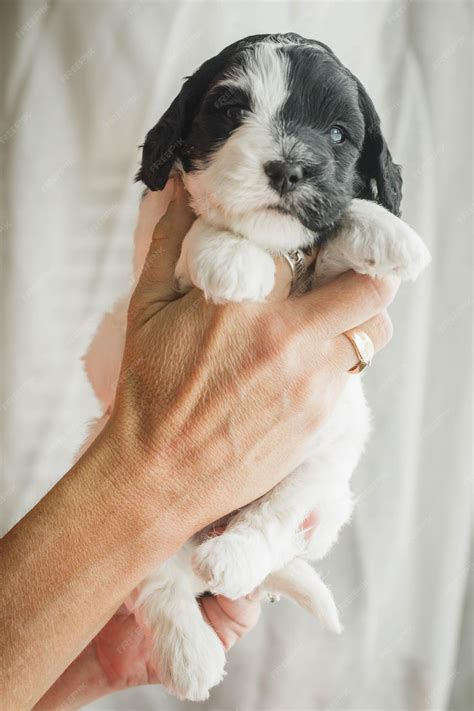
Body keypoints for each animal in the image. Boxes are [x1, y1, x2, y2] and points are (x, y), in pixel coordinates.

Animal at [131, 33, 430, 700]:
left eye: (340, 135)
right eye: (229, 111)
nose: (291, 167)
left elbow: (340, 225)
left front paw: (390, 233)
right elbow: (201, 232)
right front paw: (228, 256)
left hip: (321, 474)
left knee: (272, 527)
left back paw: (231, 559)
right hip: (150, 529)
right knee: (158, 588)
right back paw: (191, 656)